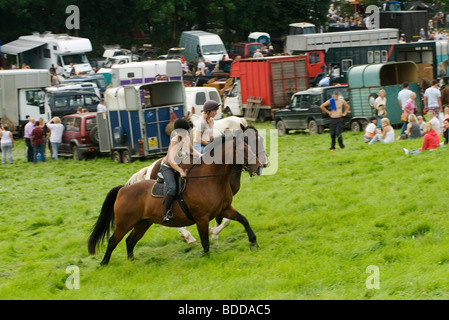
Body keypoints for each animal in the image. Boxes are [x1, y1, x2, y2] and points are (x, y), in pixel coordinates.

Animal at [87, 132, 262, 264]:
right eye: (243, 150)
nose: (259, 166)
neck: (210, 179)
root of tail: (123, 189)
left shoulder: (224, 209)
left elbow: (243, 220)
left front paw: (254, 242)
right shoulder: (202, 218)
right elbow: (205, 242)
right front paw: (207, 258)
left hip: (143, 223)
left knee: (130, 241)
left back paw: (132, 262)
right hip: (124, 223)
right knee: (113, 241)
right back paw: (104, 264)